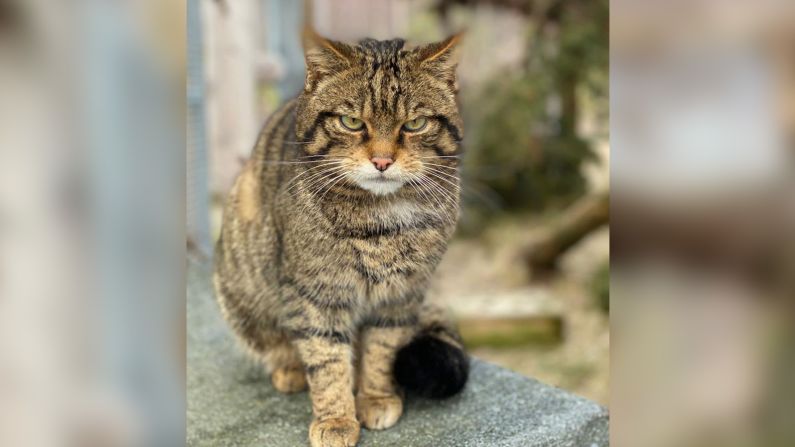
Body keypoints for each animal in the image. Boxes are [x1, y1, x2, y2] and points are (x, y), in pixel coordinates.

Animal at [215, 29, 470, 446]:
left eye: (414, 124)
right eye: (351, 122)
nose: (382, 161)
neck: (381, 223)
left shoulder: (402, 295)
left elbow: (382, 350)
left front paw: (377, 397)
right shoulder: (315, 295)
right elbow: (326, 359)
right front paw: (336, 419)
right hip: (243, 290)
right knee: (281, 344)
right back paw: (291, 370)